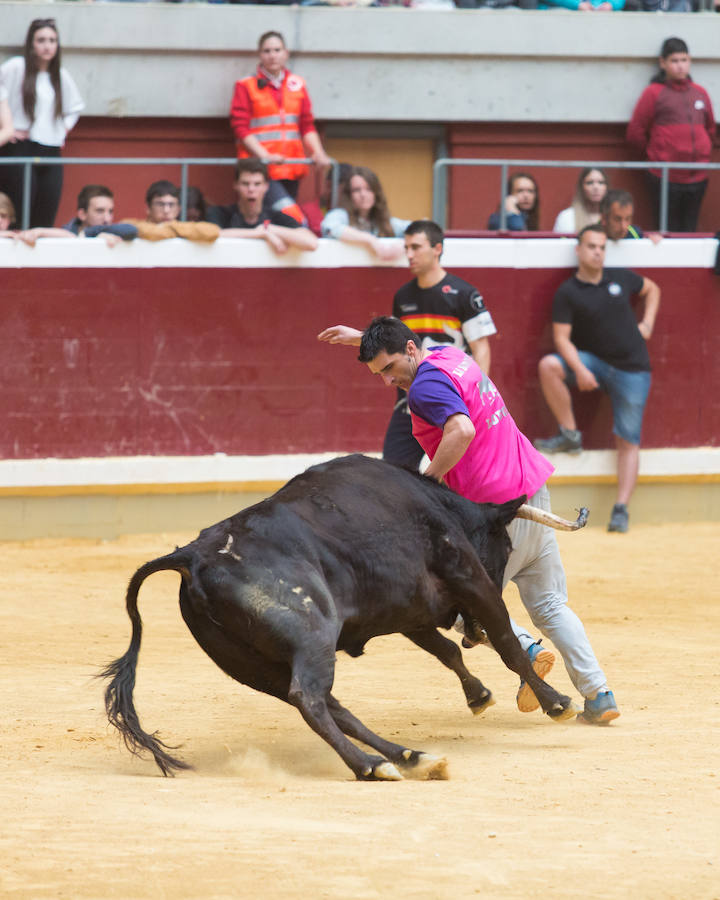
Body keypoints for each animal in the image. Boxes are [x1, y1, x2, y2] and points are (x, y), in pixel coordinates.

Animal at [100, 458, 584, 780]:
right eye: (506, 546)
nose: (471, 633)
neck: (436, 503)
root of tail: (191, 555)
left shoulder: (410, 612)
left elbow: (446, 651)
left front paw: (478, 694)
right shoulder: (470, 580)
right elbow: (507, 645)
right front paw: (556, 702)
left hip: (255, 667)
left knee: (330, 705)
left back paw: (409, 757)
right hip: (311, 635)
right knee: (311, 699)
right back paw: (372, 765)